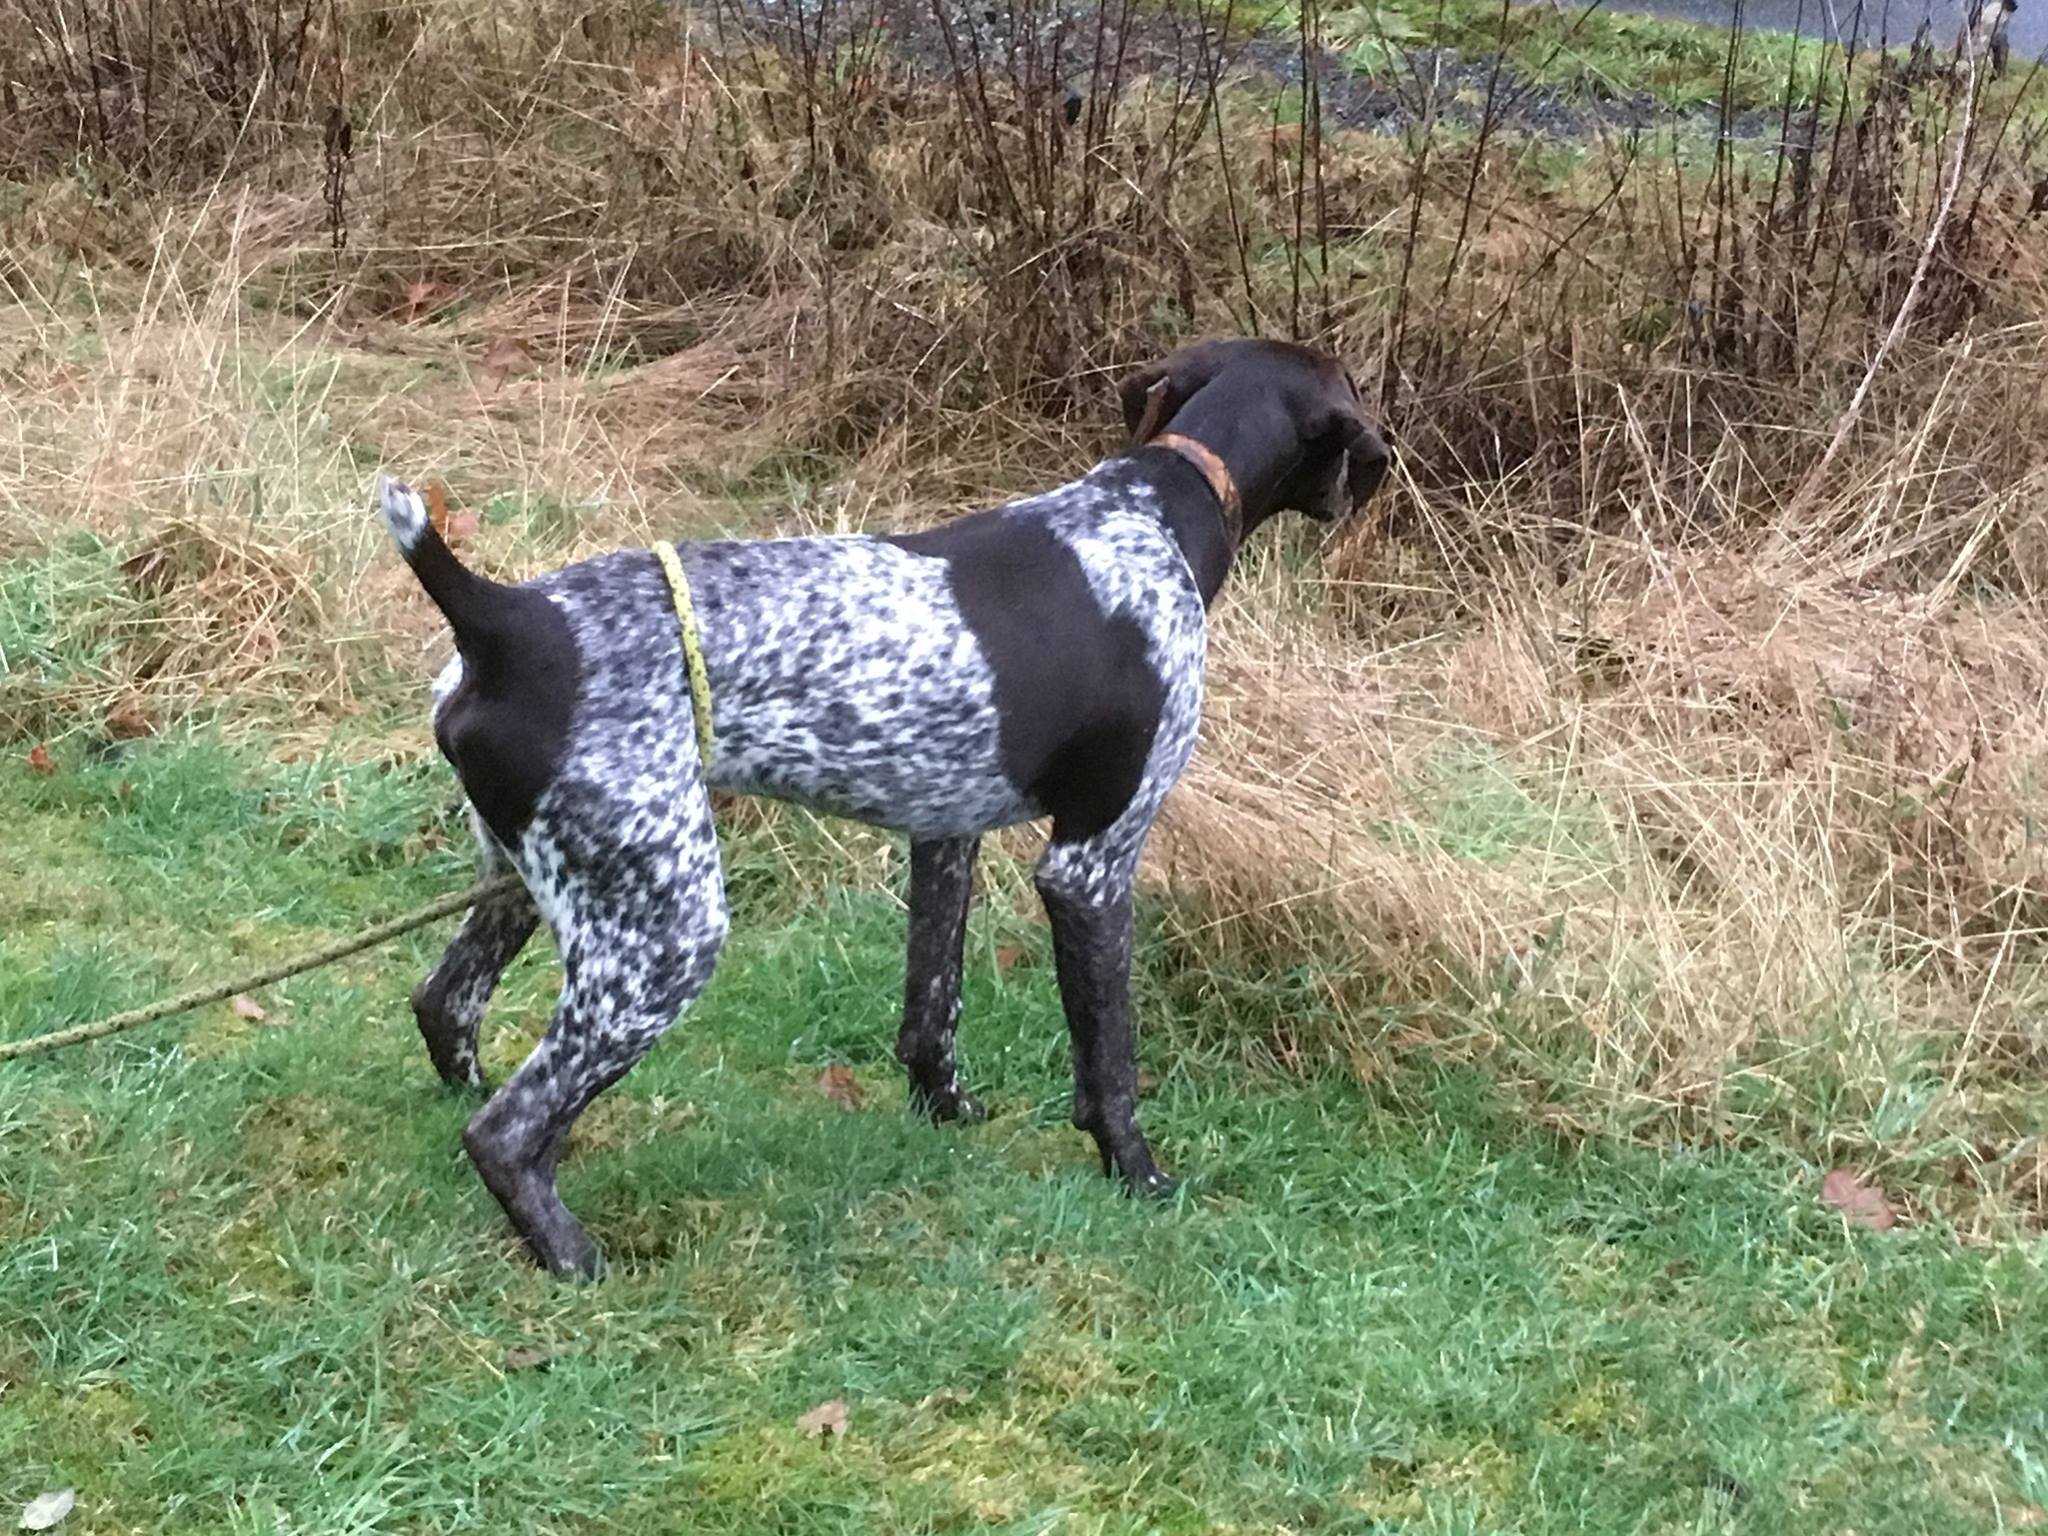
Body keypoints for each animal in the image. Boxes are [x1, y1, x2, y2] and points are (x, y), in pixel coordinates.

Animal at [380, 342, 1392, 1277]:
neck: (1155, 508)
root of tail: (503, 621)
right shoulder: (1092, 866)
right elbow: (1109, 1063)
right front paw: (1136, 1173)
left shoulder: (946, 833)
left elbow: (930, 1009)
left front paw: (944, 1112)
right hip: (668, 931)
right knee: (507, 1131)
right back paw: (572, 1254)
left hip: (546, 879)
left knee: (446, 1004)